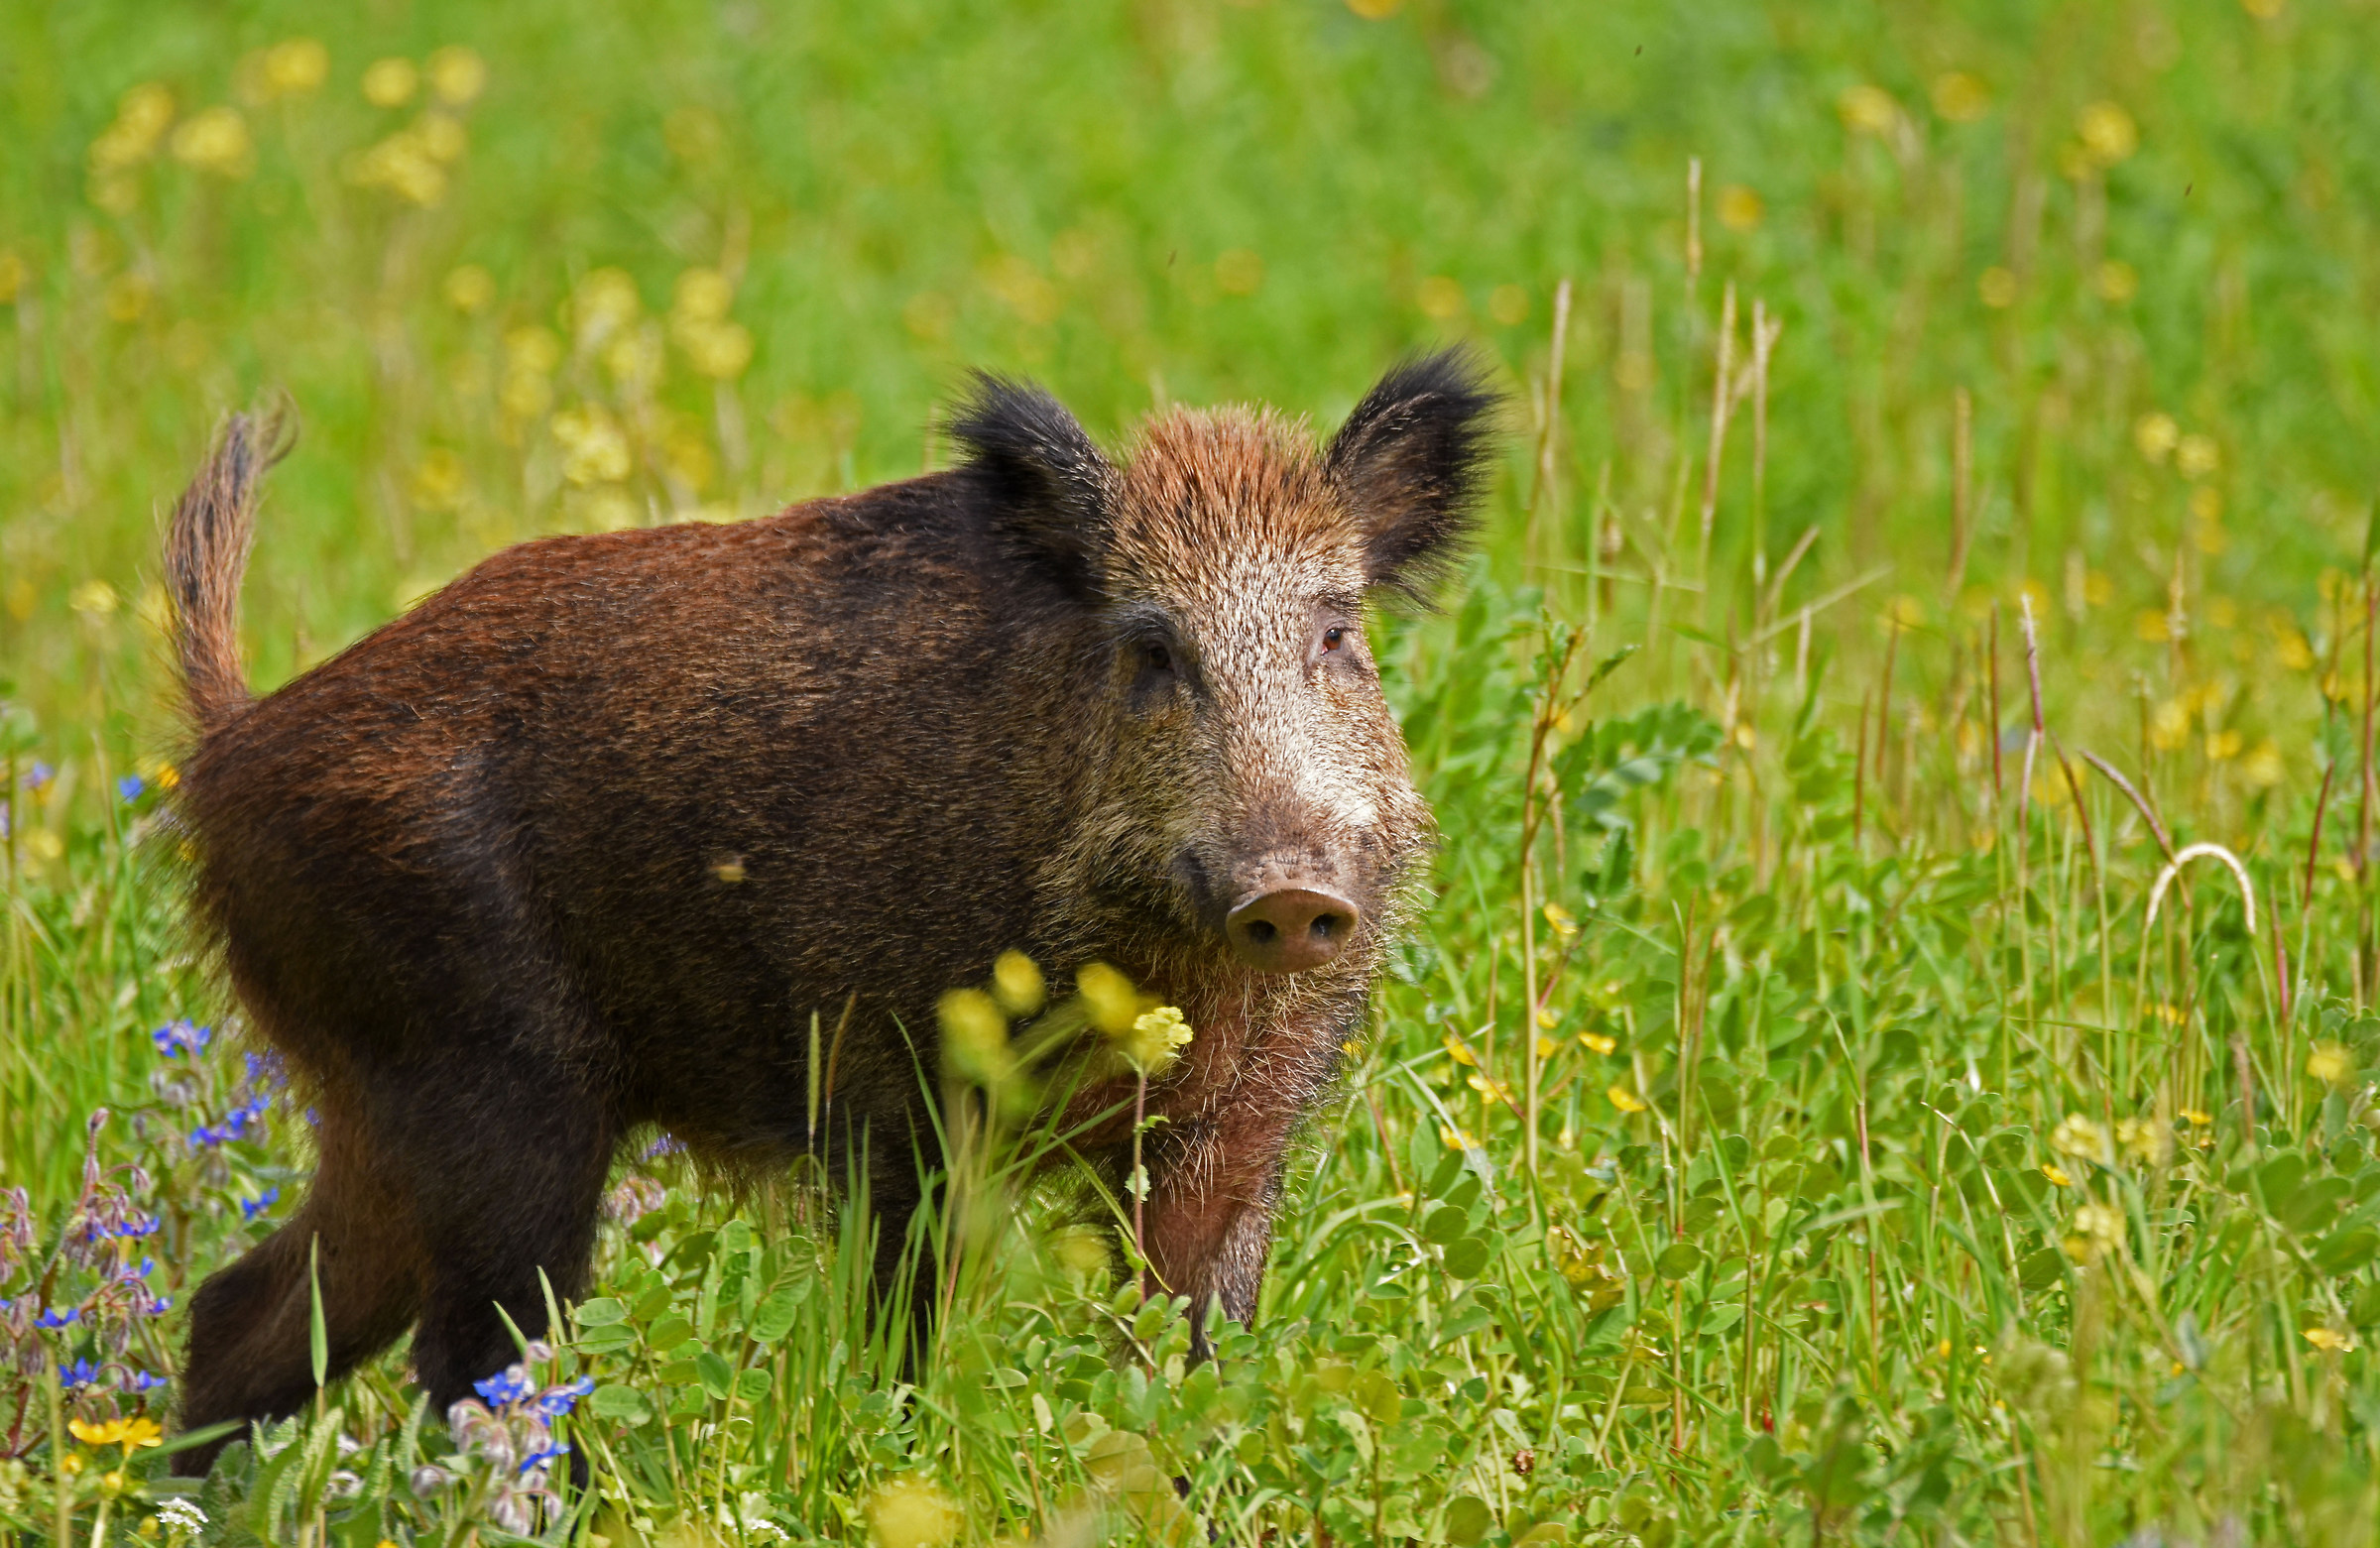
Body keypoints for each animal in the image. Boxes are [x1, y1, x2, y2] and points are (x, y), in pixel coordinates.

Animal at [162, 350, 1498, 1469]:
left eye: (1339, 633)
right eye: (1153, 649)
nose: (1291, 888)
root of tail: (231, 742)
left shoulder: (1241, 1129)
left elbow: (1191, 1349)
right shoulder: (891, 1095)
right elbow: (900, 1336)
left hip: (386, 1096)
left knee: (248, 1313)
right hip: (492, 1085)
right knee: (476, 1367)